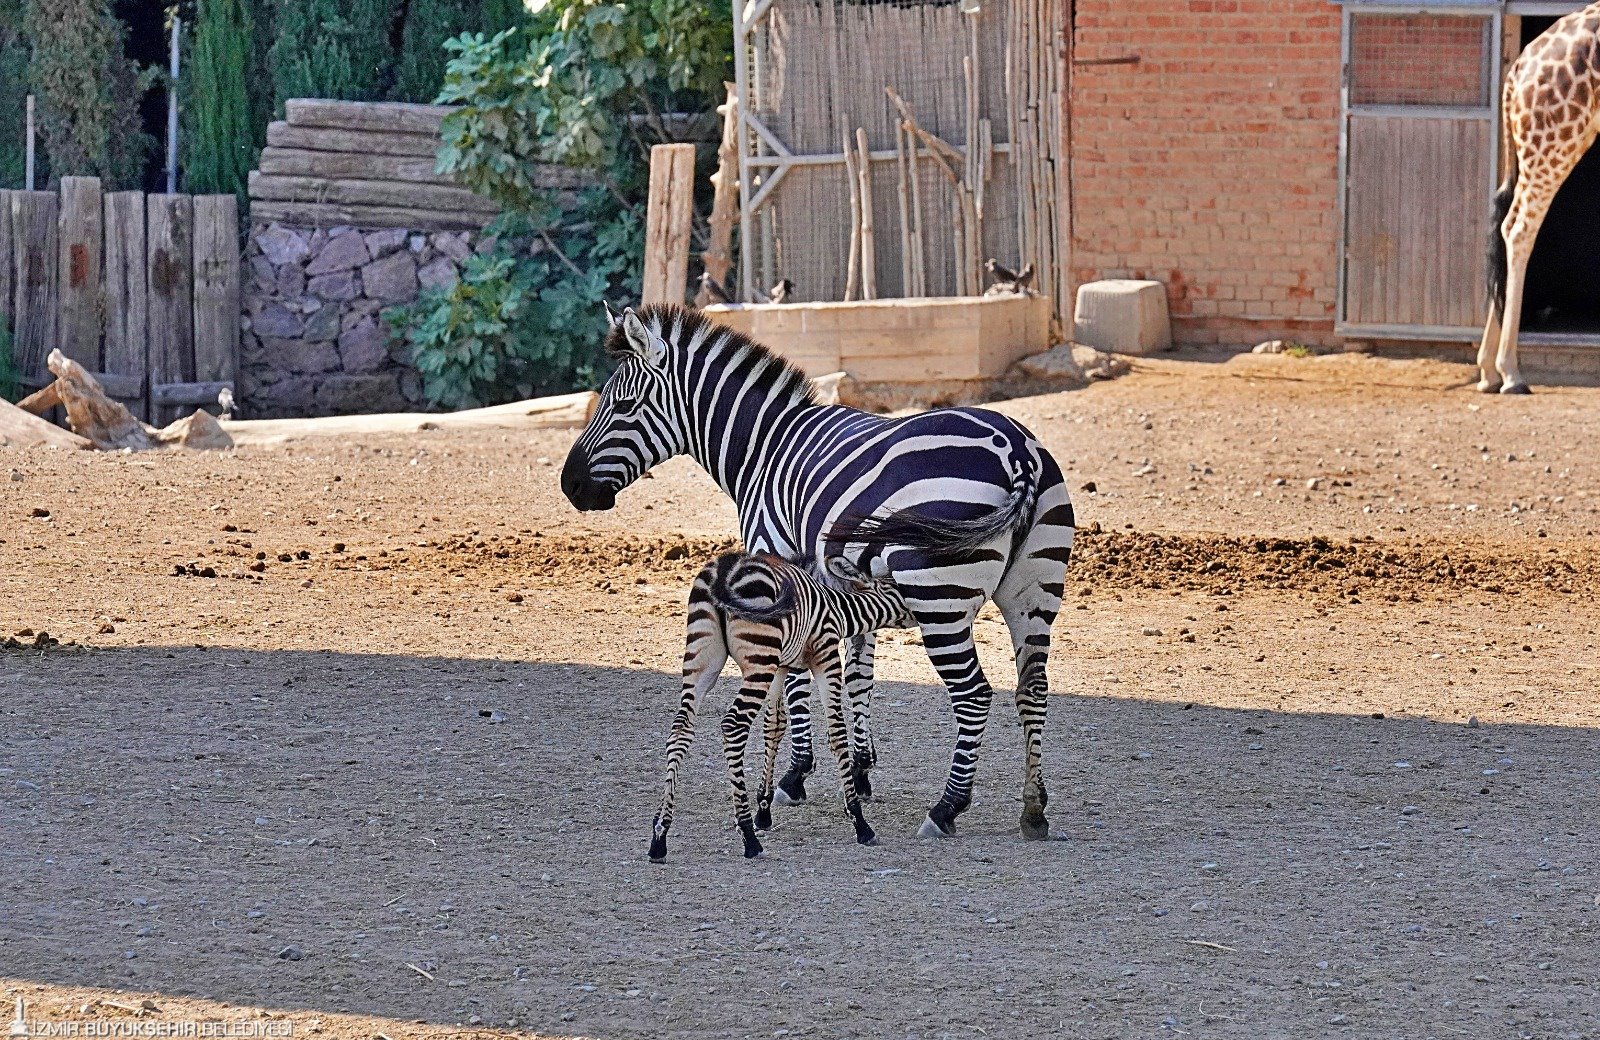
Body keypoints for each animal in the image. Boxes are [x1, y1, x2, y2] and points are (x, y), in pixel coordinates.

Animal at [650, 551, 915, 862]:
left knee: (680, 730)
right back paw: (748, 837)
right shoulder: (825, 655)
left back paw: (660, 834)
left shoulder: (781, 665)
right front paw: (859, 821)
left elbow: (774, 726)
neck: (836, 608)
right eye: (901, 588)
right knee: (733, 725)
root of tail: (723, 572)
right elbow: (837, 733)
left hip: (705, 657)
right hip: (757, 659)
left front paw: (763, 810)